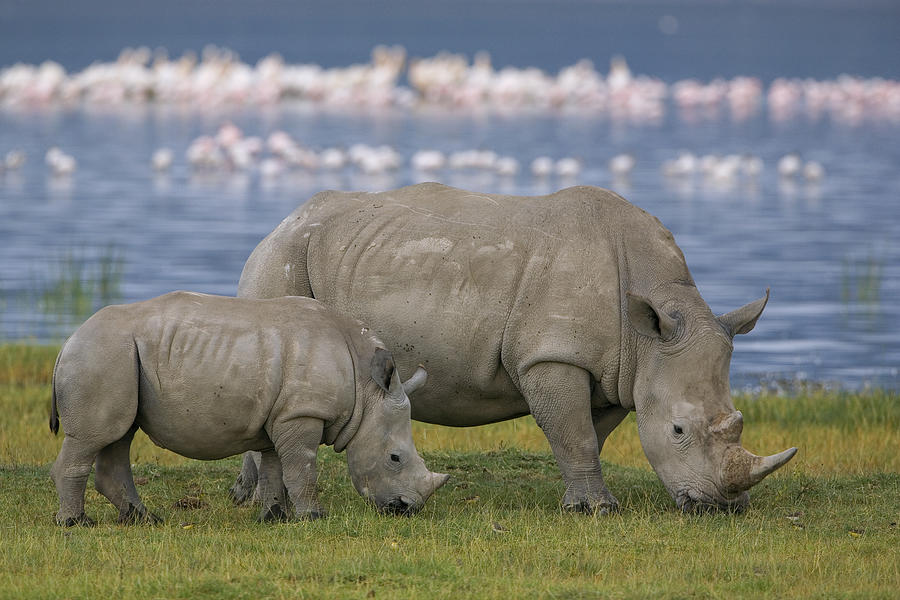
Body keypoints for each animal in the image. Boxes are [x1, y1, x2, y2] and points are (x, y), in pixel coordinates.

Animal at [47, 292, 448, 524]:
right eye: (395, 458)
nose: (407, 509)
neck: (366, 392)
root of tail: (67, 342)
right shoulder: (301, 413)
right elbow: (303, 467)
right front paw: (314, 517)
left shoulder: (281, 415)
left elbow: (275, 468)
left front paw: (274, 517)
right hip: (101, 354)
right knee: (92, 438)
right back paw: (75, 524)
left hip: (115, 358)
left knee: (119, 435)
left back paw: (143, 520)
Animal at [236, 184, 800, 516]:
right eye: (679, 430)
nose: (722, 507)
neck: (649, 328)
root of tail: (284, 220)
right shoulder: (552, 355)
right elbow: (574, 434)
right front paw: (598, 511)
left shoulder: (620, 372)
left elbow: (588, 437)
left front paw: (579, 502)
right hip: (284, 258)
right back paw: (257, 500)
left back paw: (248, 496)